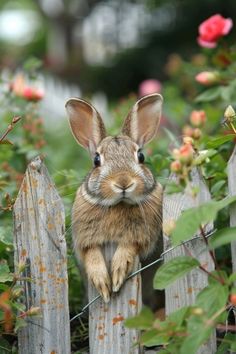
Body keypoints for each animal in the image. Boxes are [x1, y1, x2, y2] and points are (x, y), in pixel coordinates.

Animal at [65, 93, 163, 302]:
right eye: (96, 160)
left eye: (141, 156)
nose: (123, 182)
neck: (119, 204)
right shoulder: (85, 240)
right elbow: (91, 254)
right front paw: (102, 282)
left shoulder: (141, 237)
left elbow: (129, 246)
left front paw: (118, 272)